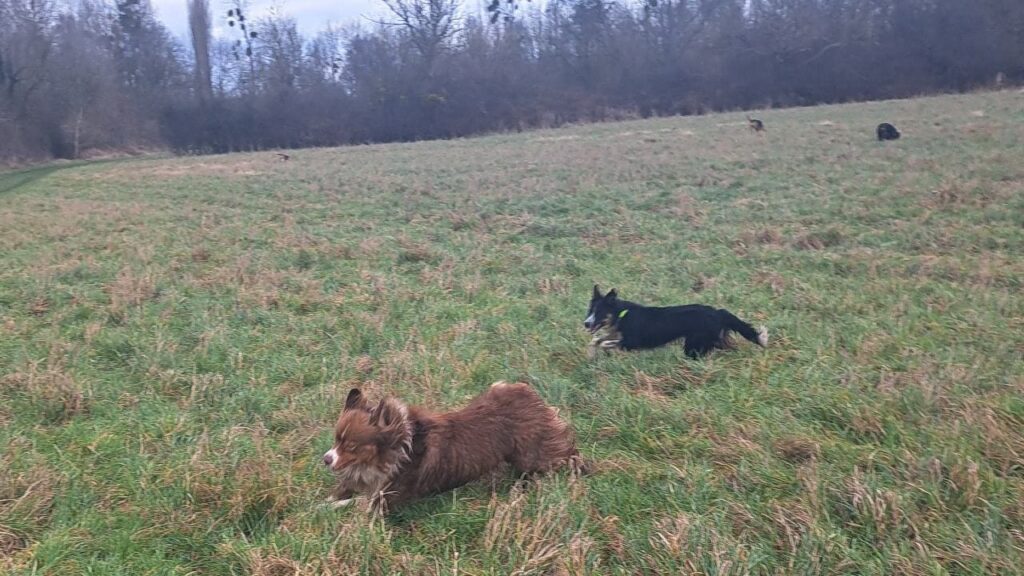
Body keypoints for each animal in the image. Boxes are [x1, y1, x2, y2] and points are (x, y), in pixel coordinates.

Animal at [323, 381, 581, 506]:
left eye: (352, 446)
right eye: (336, 439)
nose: (326, 459)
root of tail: (531, 395)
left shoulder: (386, 496)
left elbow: (356, 503)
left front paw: (329, 509)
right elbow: (342, 491)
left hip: (532, 456)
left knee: (564, 453)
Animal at [585, 284, 770, 356]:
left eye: (600, 313)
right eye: (590, 311)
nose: (586, 323)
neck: (621, 314)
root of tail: (718, 312)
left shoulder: (632, 342)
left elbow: (605, 342)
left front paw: (602, 350)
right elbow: (596, 340)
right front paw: (591, 354)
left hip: (694, 344)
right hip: (709, 340)